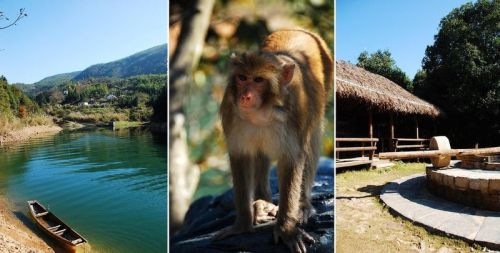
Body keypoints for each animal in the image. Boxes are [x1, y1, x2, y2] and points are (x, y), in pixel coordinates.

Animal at [218, 28, 332, 252]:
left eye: (258, 80)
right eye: (242, 78)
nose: (245, 96)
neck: (262, 113)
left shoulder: (296, 111)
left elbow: (293, 160)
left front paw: (286, 229)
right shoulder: (230, 111)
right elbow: (241, 157)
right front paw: (242, 225)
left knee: (311, 143)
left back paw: (302, 205)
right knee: (260, 154)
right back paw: (263, 204)